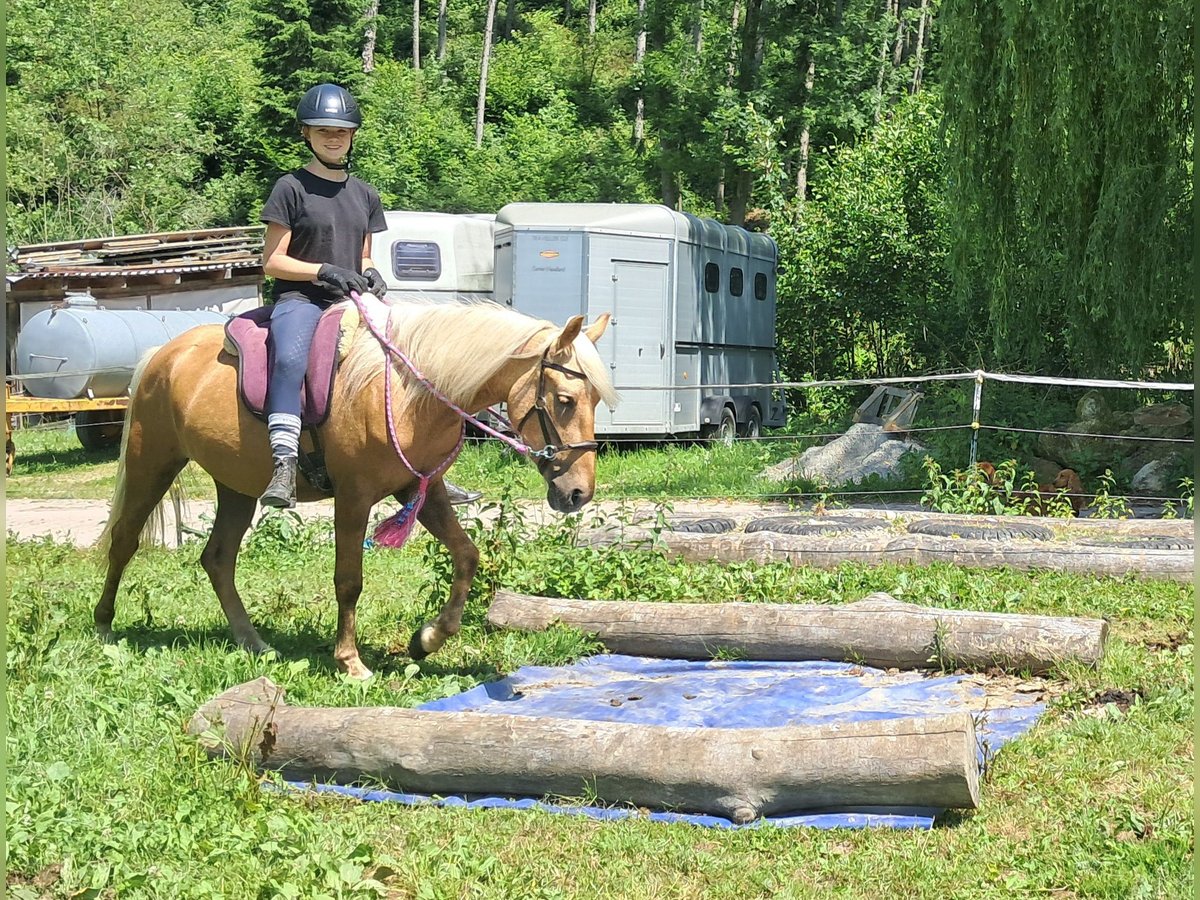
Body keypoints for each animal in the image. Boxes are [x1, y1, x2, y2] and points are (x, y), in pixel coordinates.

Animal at [95, 296, 617, 679]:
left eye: (594, 399)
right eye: (565, 400)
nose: (579, 493)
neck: (412, 394)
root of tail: (164, 354)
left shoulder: (421, 490)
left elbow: (467, 556)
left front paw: (427, 639)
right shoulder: (354, 497)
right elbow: (349, 580)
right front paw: (350, 662)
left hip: (236, 486)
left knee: (218, 559)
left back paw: (252, 641)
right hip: (151, 461)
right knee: (123, 541)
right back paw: (104, 625)